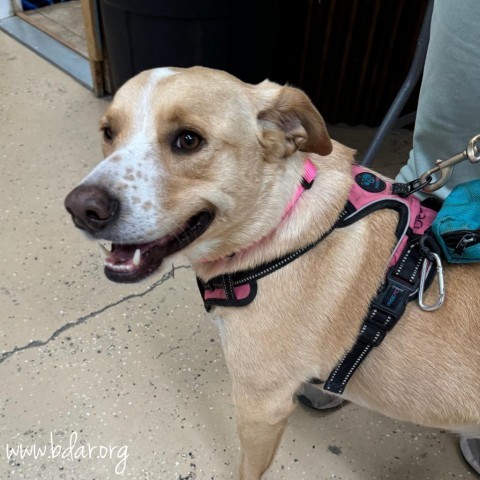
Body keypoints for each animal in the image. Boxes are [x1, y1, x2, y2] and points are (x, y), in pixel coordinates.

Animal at [64, 66, 480, 480]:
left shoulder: (261, 407)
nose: (81, 209)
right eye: (108, 131)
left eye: (188, 140)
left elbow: (247, 470)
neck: (279, 223)